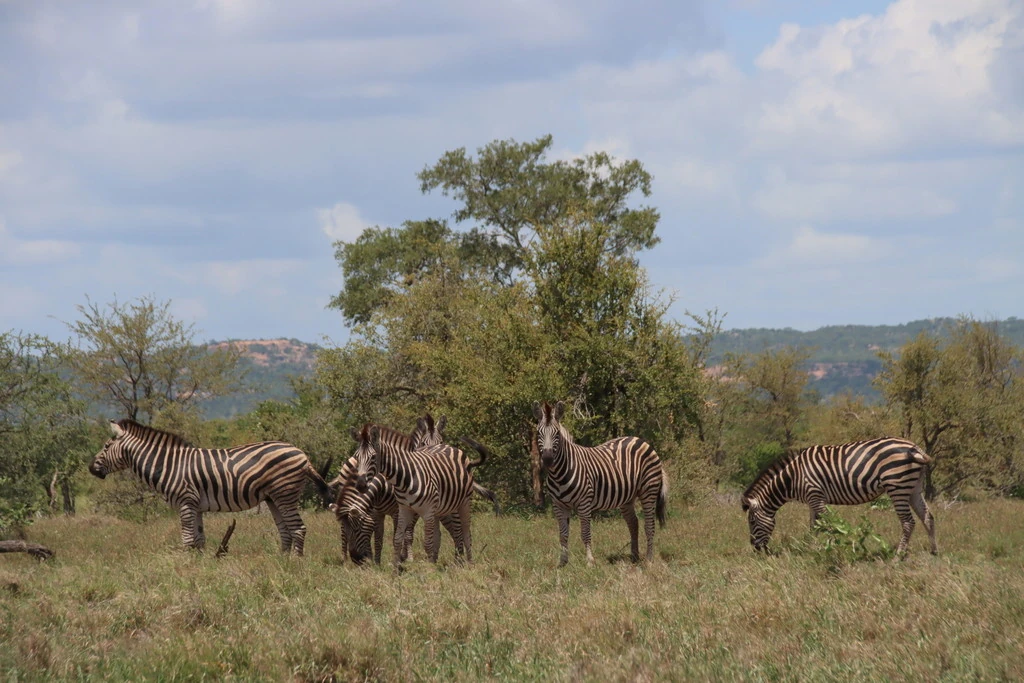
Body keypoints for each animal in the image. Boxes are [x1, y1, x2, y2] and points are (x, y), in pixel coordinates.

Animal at [88, 417, 329, 557]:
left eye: (106, 446)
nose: (91, 468)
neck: (168, 465)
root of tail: (302, 454)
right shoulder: (196, 506)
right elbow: (199, 540)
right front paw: (200, 567)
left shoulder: (185, 502)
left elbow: (187, 539)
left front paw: (185, 568)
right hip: (273, 497)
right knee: (285, 531)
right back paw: (281, 563)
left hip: (285, 493)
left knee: (298, 528)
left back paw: (295, 563)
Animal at [532, 401, 667, 565]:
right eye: (539, 433)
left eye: (557, 434)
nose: (547, 459)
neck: (559, 474)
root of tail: (640, 440)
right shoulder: (558, 505)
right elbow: (563, 534)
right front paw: (562, 563)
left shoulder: (584, 503)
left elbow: (585, 533)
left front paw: (590, 561)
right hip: (627, 498)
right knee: (633, 523)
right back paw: (634, 556)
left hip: (649, 491)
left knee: (649, 525)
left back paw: (648, 560)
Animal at [741, 438, 937, 557]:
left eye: (751, 521)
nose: (755, 548)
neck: (793, 477)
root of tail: (914, 447)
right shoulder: (812, 500)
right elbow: (814, 527)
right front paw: (809, 549)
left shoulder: (816, 496)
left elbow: (827, 525)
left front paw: (833, 548)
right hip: (913, 488)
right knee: (928, 516)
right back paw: (933, 552)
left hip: (897, 486)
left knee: (908, 522)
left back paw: (898, 557)